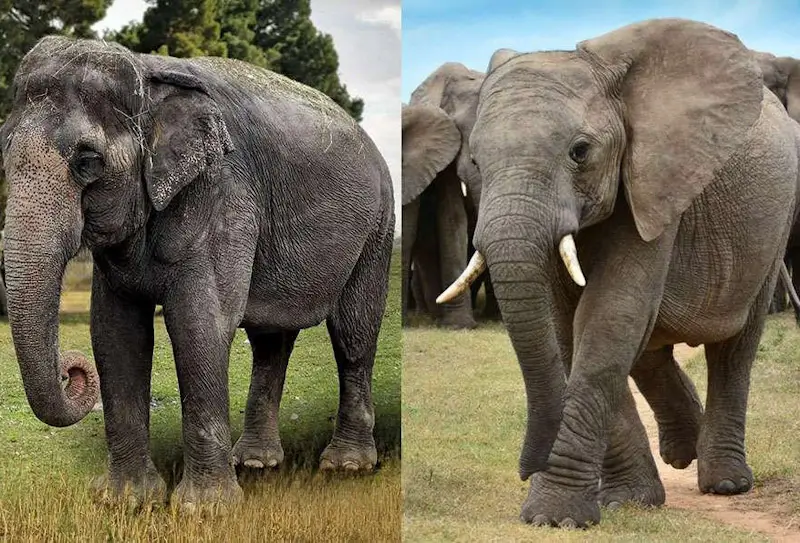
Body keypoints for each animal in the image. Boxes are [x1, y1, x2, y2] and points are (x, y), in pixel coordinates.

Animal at [0, 36, 394, 511]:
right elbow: (115, 332)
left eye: (88, 162)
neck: (148, 71)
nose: (71, 371)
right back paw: (256, 462)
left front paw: (204, 511)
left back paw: (345, 465)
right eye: (4, 157)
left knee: (353, 333)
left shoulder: (224, 195)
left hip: (376, 229)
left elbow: (199, 323)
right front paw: (126, 502)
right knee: (270, 340)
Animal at [438, 19, 800, 528]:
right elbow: (571, 328)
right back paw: (682, 450)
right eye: (474, 161)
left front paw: (553, 517)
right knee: (649, 345)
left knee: (733, 348)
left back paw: (725, 482)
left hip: (775, 225)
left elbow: (609, 319)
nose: (526, 469)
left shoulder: (656, 181)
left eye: (580, 152)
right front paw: (627, 502)